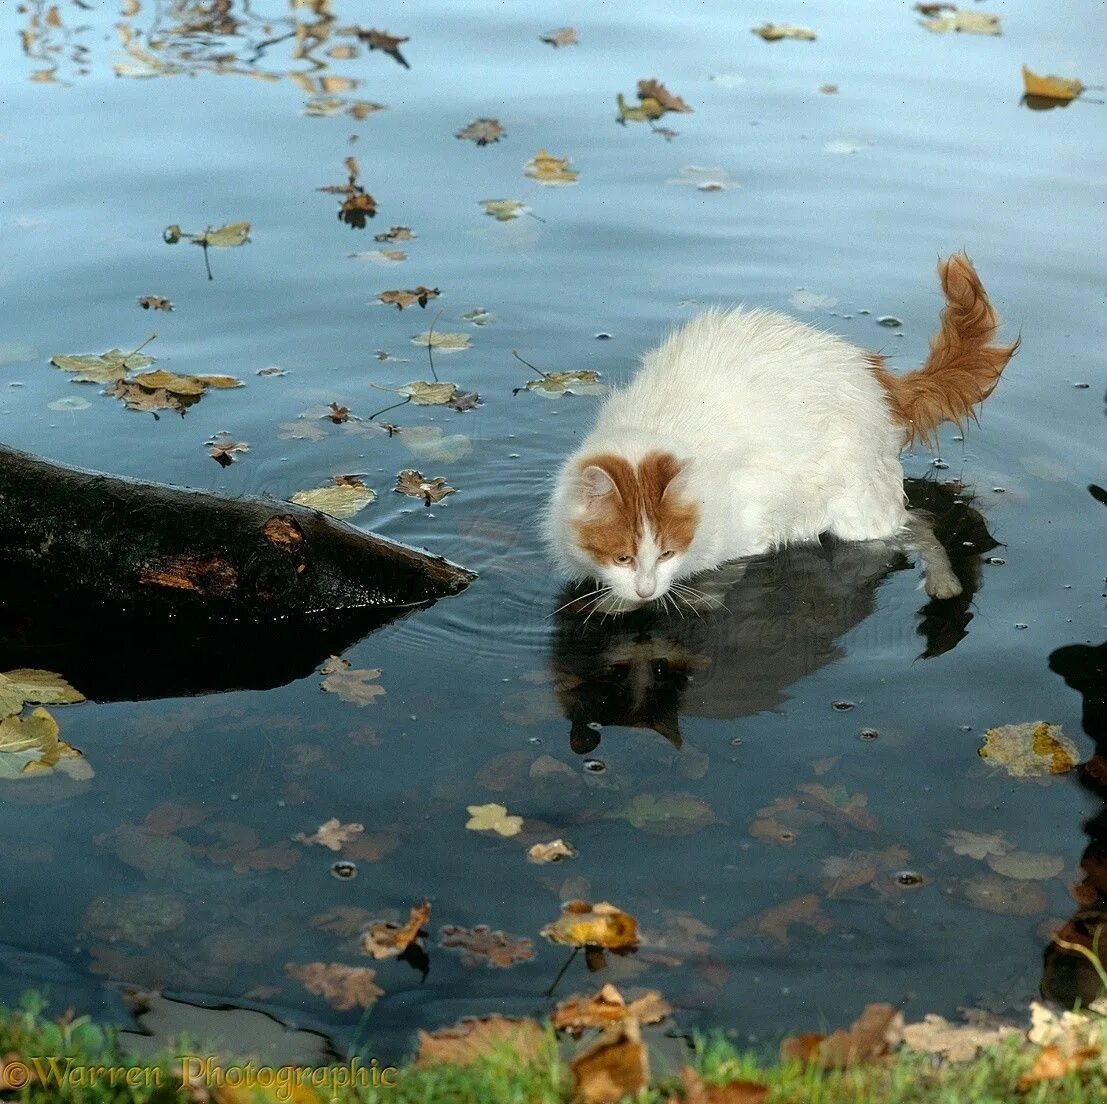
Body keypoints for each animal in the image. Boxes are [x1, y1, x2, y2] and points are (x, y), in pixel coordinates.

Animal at [546, 250, 1018, 606]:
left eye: (665, 552)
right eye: (622, 557)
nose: (645, 590)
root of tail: (877, 375)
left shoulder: (751, 533)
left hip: (862, 513)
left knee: (920, 524)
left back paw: (944, 584)